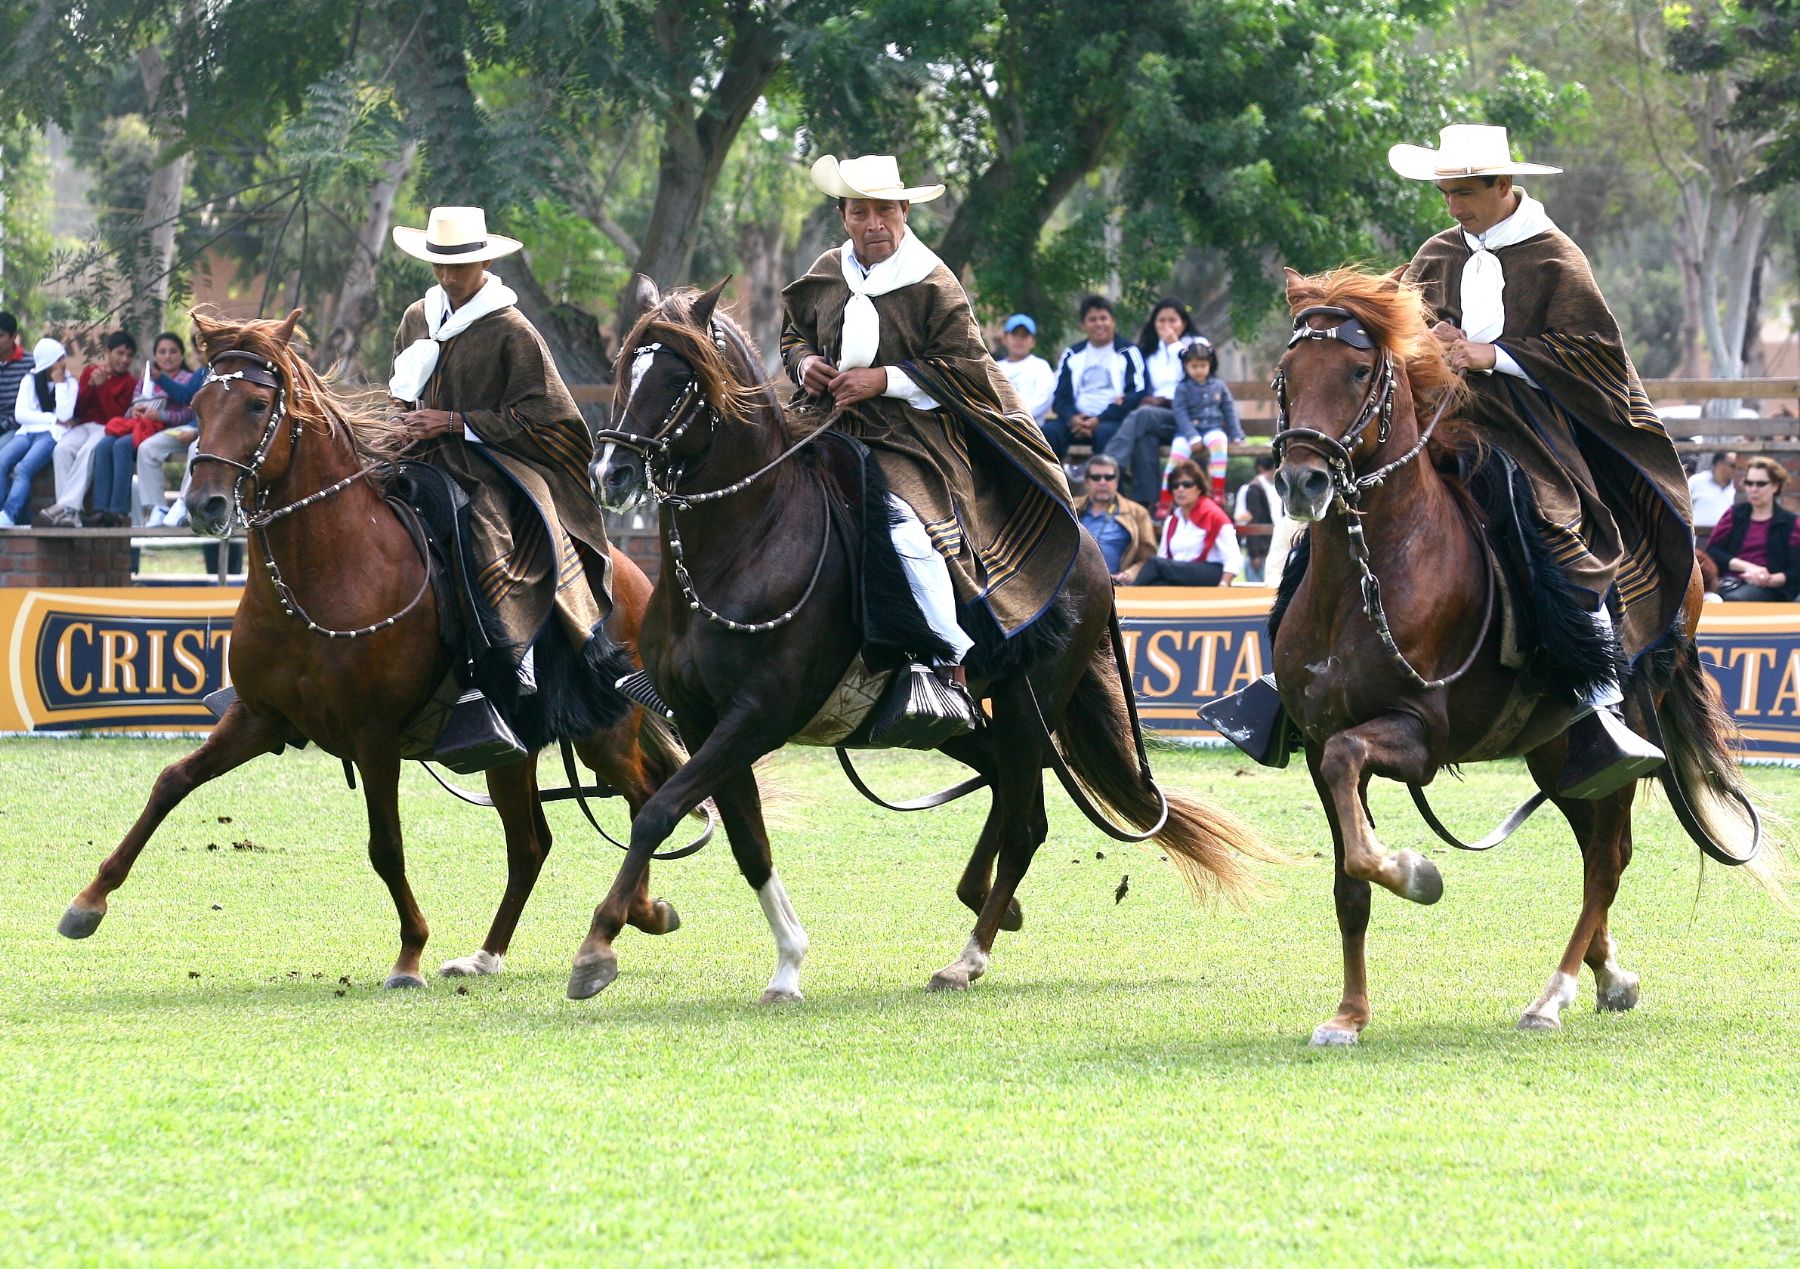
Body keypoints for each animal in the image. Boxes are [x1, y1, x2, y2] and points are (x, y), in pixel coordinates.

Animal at [58, 309, 687, 993]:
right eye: (198, 403)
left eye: (256, 404)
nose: (204, 503)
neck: (326, 572)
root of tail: (634, 577)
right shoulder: (258, 718)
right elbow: (171, 782)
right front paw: (88, 901)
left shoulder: (375, 735)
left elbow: (385, 845)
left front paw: (409, 955)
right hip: (512, 750)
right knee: (533, 845)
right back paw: (489, 955)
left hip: (604, 733)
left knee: (645, 797)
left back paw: (637, 913)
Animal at [572, 277, 1281, 1000]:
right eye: (623, 369)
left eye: (680, 377)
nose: (611, 473)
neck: (746, 544)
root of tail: (1089, 552)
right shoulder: (703, 718)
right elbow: (747, 840)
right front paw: (787, 961)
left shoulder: (757, 716)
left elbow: (660, 810)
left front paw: (598, 946)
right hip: (955, 722)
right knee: (1003, 784)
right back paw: (989, 902)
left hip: (1028, 706)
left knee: (1027, 822)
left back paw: (969, 956)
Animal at [1267, 264, 1771, 1036]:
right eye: (1286, 374)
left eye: (1357, 370)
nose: (1303, 482)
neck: (1368, 579)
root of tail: (1689, 580)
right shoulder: (1320, 745)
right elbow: (1349, 875)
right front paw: (1349, 1015)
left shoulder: (1418, 734)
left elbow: (1359, 788)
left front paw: (1417, 873)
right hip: (1559, 754)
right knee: (1597, 849)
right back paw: (1608, 974)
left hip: (1620, 741)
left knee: (1607, 860)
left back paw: (1553, 995)